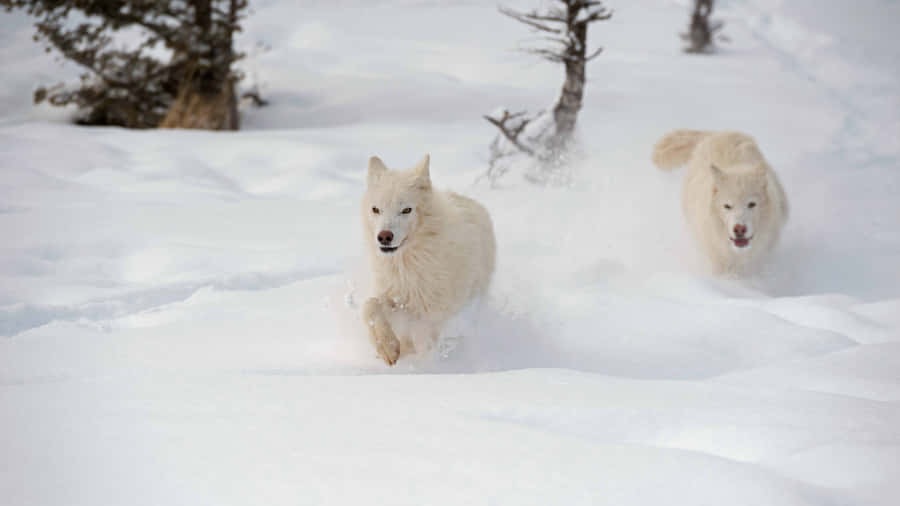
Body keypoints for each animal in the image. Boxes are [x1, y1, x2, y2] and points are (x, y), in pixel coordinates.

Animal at [360, 154, 496, 365]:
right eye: (376, 209)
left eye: (406, 210)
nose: (384, 236)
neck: (407, 264)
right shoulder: (393, 297)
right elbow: (369, 306)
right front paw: (387, 348)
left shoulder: (428, 313)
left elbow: (423, 340)